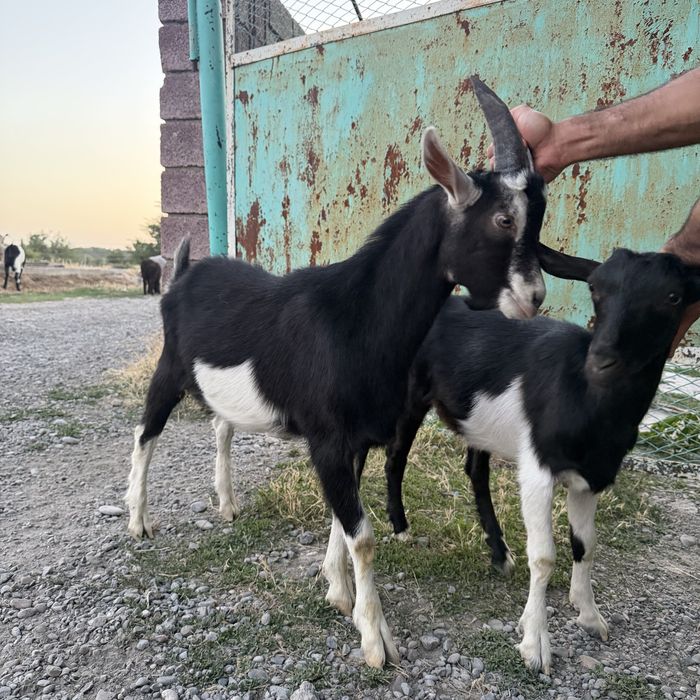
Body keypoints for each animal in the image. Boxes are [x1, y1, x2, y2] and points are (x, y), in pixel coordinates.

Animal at [126, 78, 581, 668]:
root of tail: (183, 274)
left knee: (221, 427)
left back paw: (226, 505)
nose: (533, 298)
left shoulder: (356, 439)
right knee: (145, 434)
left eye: (540, 217)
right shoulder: (327, 438)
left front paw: (338, 590)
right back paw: (138, 520)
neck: (354, 318)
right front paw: (375, 639)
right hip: (169, 367)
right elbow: (360, 534)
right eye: (504, 220)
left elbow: (343, 523)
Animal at [381, 233, 700, 673]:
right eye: (594, 288)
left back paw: (499, 553)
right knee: (396, 455)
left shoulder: (590, 477)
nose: (602, 360)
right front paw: (535, 644)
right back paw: (401, 528)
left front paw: (590, 615)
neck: (588, 400)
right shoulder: (538, 468)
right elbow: (545, 556)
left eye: (673, 297)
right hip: (410, 397)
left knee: (475, 469)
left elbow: (586, 544)